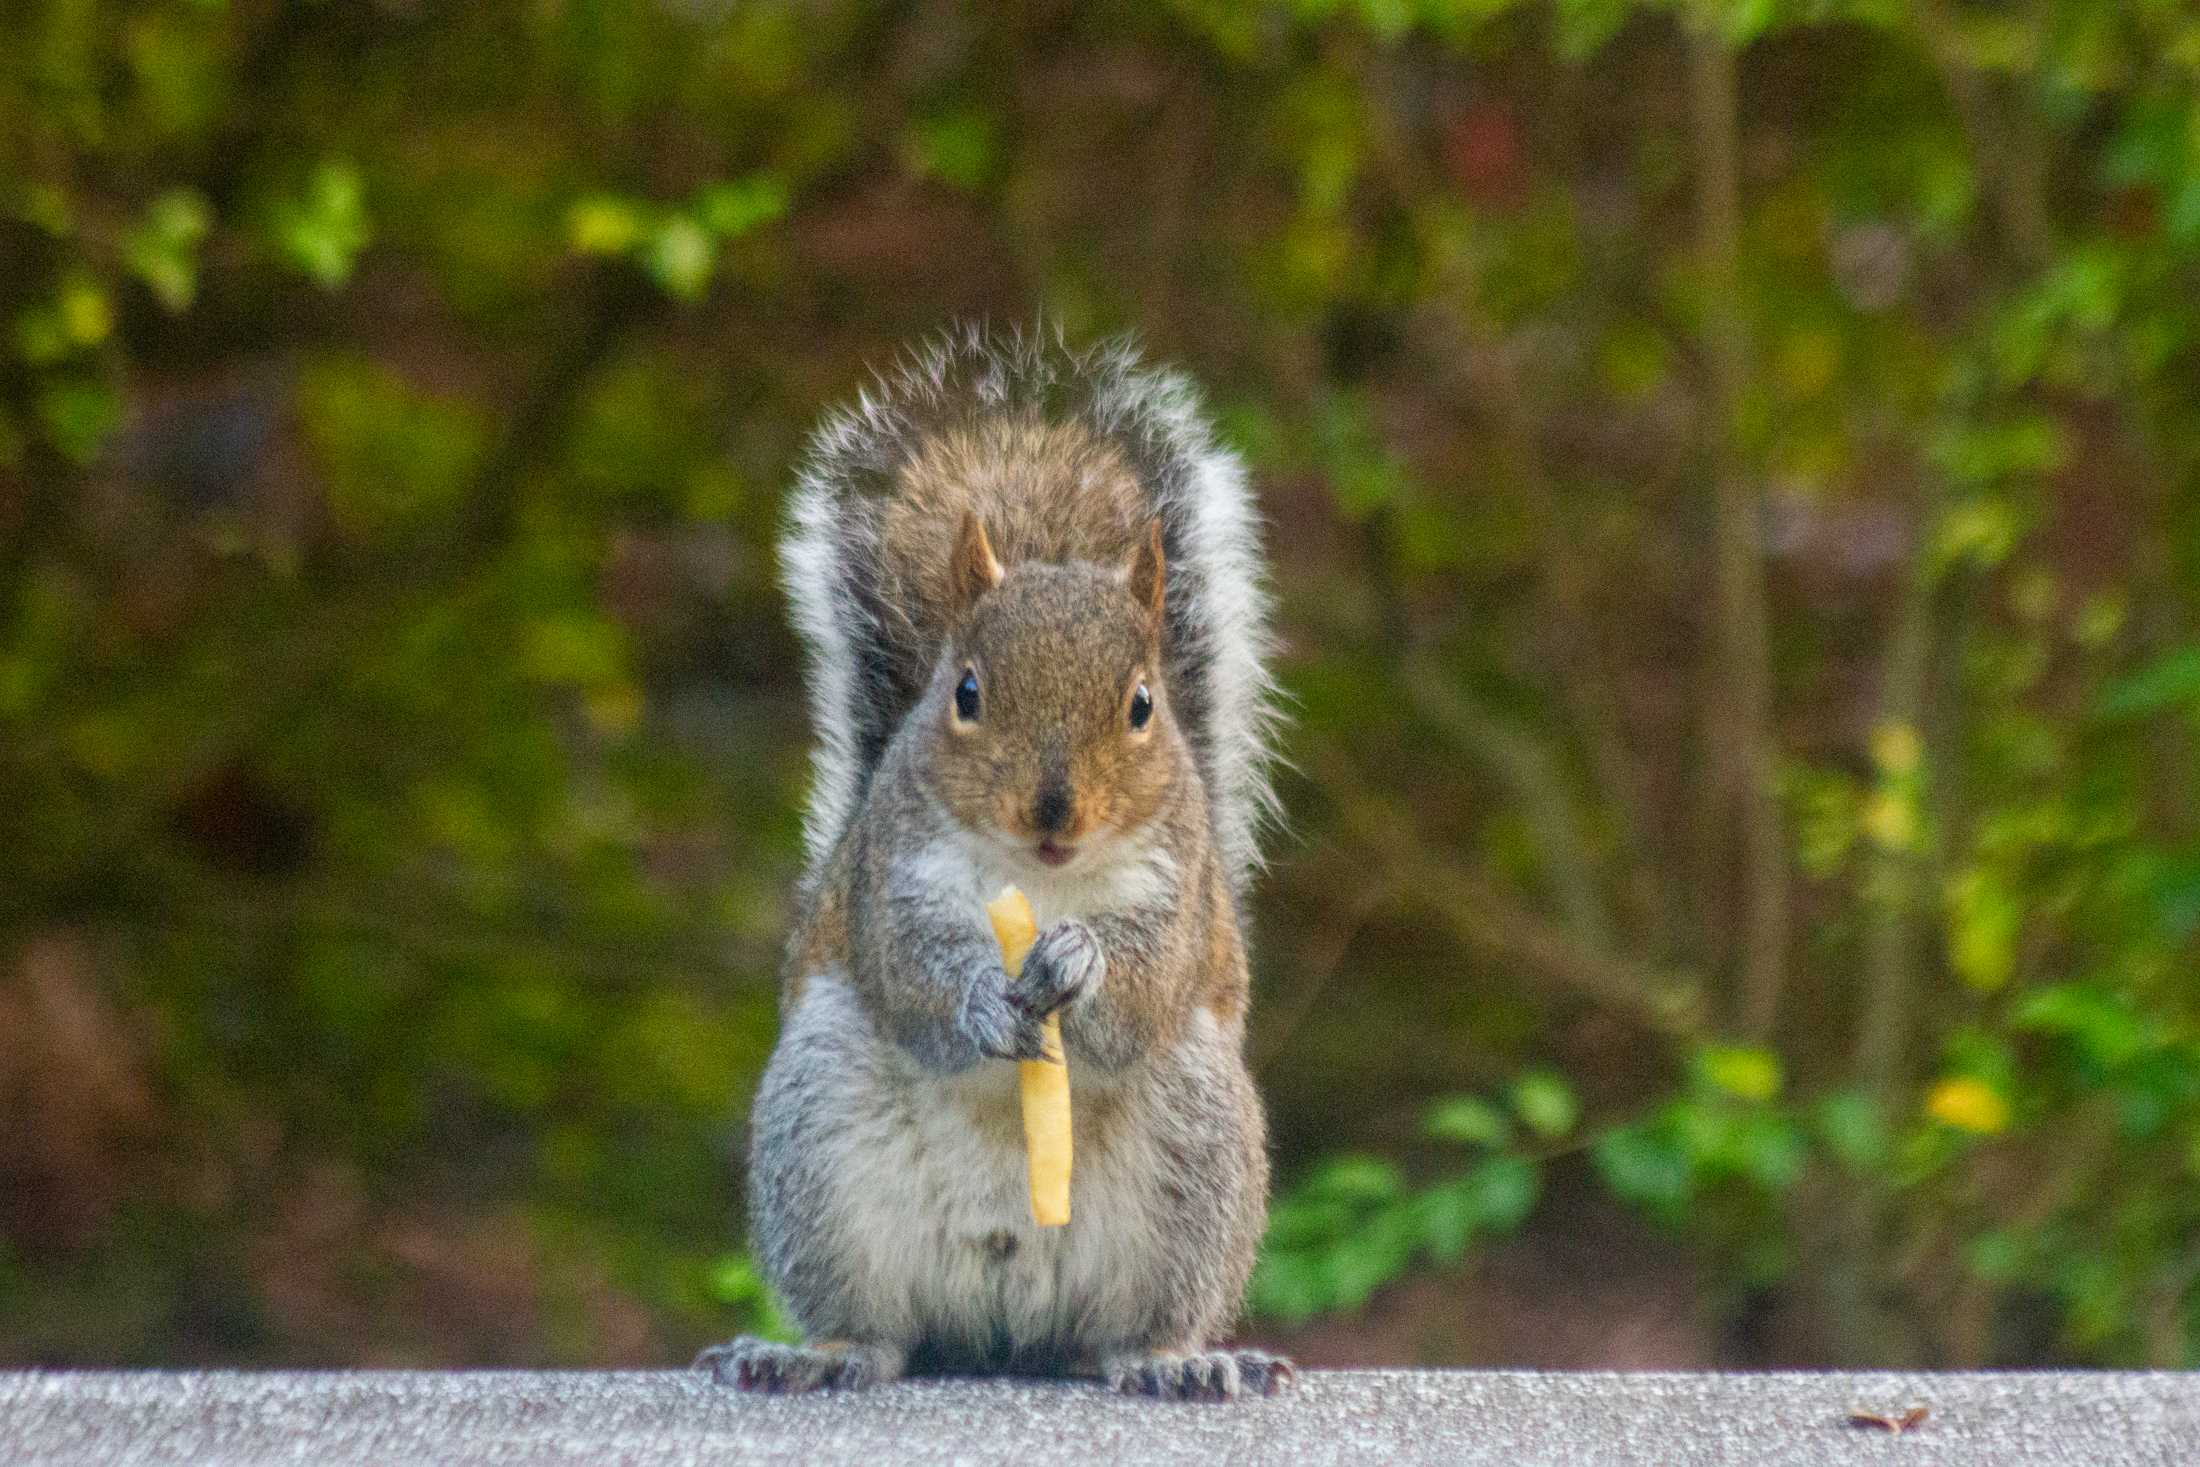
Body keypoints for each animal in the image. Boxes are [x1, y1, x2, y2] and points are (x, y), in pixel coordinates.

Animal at [699, 327, 1284, 1407]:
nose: (1052, 812)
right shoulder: (891, 878)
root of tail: (1007, 1330)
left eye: (1141, 706)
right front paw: (979, 999)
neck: (1041, 880)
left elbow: (1141, 990)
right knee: (882, 1332)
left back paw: (1174, 1360)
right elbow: (913, 972)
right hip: (821, 1136)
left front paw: (1084, 966)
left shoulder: (1176, 897)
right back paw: (814, 1353)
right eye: (966, 692)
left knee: (1125, 1332)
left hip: (1196, 1143)